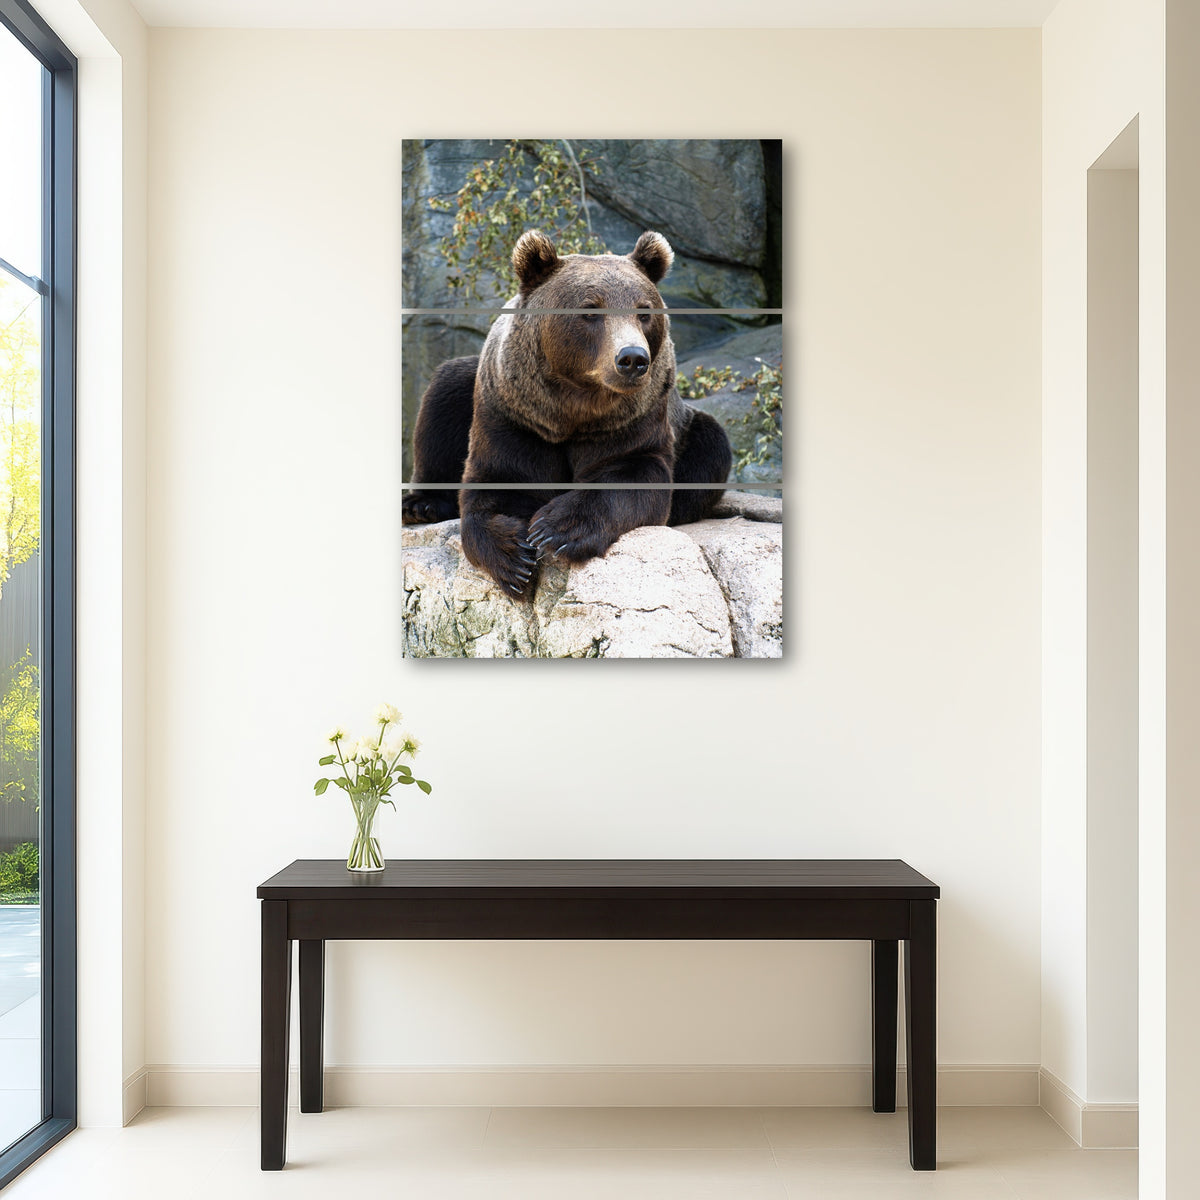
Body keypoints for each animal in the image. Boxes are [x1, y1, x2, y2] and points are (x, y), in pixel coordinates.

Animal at [401, 229, 733, 598]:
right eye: (590, 311)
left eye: (644, 312)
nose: (633, 358)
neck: (572, 409)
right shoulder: (514, 416)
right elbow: (498, 482)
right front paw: (513, 557)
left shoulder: (632, 420)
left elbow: (634, 474)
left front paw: (556, 529)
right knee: (445, 392)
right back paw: (421, 504)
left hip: (689, 429)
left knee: (711, 446)